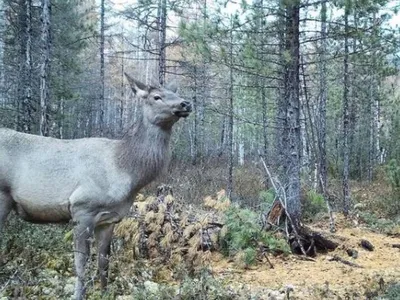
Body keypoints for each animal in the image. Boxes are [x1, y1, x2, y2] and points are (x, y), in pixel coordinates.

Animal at [0, 73, 192, 300]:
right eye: (156, 97)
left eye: (175, 93)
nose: (186, 103)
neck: (124, 171)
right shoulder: (82, 208)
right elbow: (81, 261)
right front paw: (78, 295)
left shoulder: (109, 219)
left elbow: (104, 261)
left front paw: (104, 292)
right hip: (2, 195)